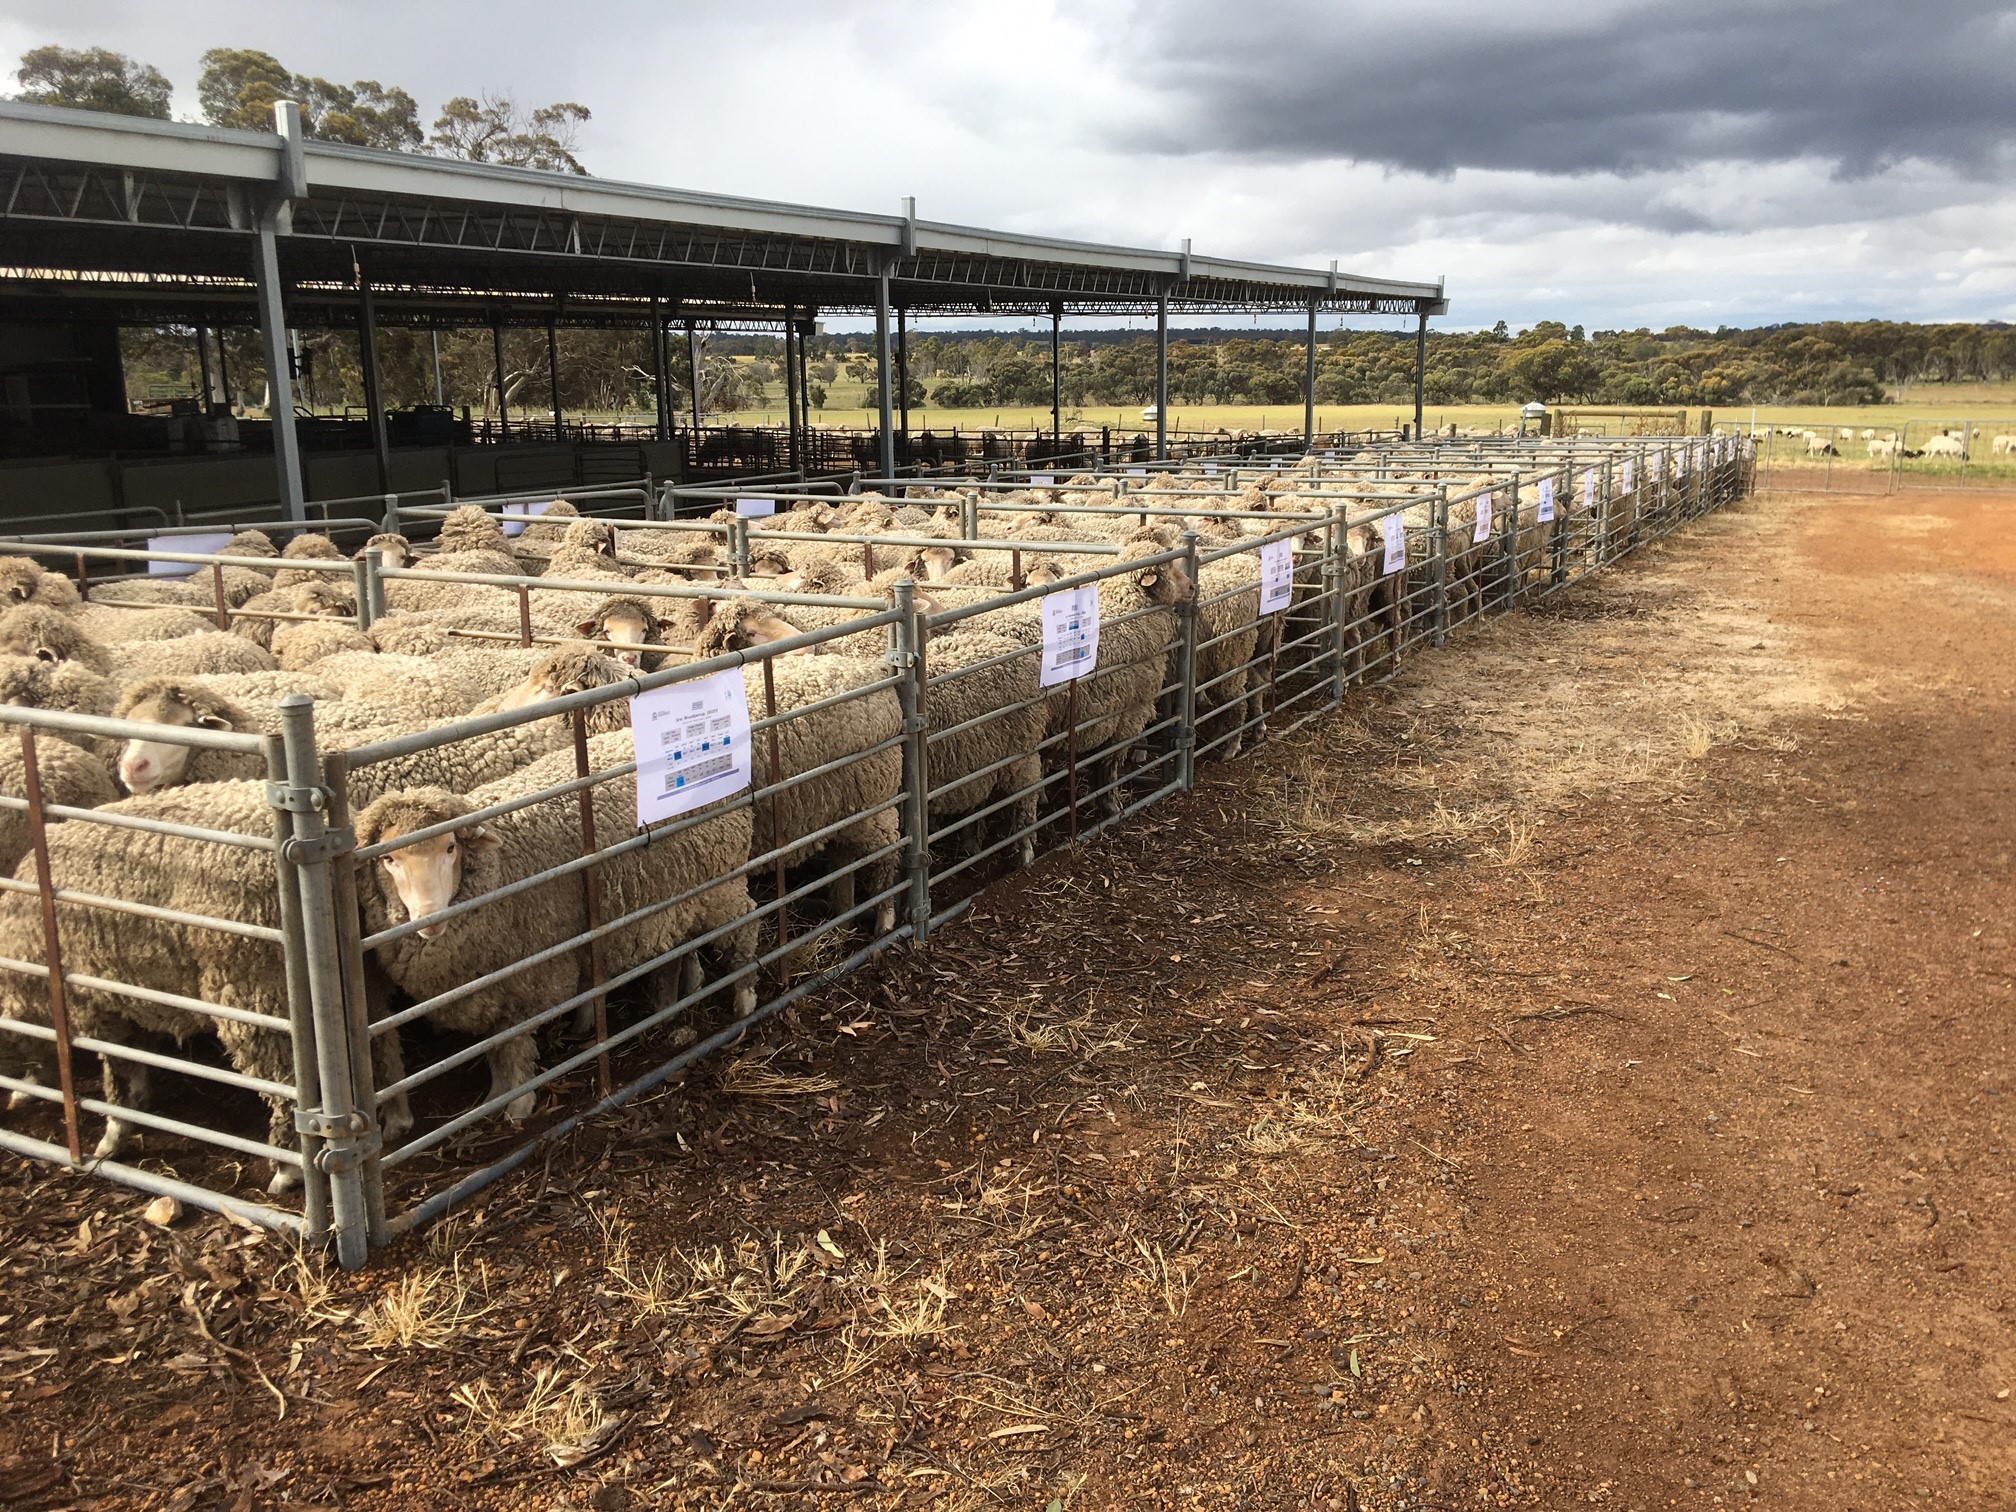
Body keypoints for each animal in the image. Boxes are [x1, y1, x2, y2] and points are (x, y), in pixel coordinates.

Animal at [0, 777, 411, 1192]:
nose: (14, 1097)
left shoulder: (91, 1002)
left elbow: (116, 1068)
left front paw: (114, 1132)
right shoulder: (127, 992)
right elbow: (133, 1059)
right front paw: (137, 1102)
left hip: (254, 990)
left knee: (284, 1081)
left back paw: (287, 1168)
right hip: (358, 967)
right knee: (378, 1037)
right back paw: (395, 1117)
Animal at [353, 733, 759, 1124]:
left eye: (450, 848)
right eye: (387, 859)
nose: (429, 918)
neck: (499, 869)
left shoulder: (528, 975)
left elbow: (515, 1045)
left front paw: (518, 1105)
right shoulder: (492, 979)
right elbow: (496, 1046)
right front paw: (496, 1093)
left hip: (722, 881)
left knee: (746, 926)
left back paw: (744, 998)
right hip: (675, 891)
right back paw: (675, 998)